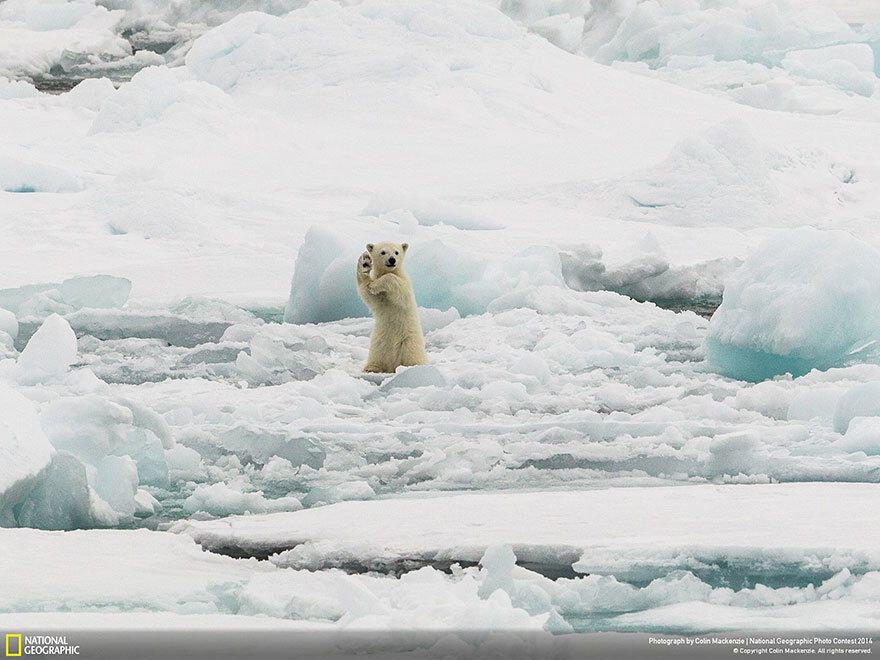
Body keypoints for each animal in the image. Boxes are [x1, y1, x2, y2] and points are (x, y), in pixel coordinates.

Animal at [356, 241, 428, 374]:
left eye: (396, 252)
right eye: (383, 252)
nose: (392, 260)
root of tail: (392, 365)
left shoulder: (405, 285)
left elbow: (397, 287)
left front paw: (375, 285)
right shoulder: (380, 299)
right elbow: (369, 295)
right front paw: (365, 262)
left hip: (409, 341)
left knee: (411, 354)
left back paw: (411, 367)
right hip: (378, 342)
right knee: (376, 355)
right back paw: (371, 368)